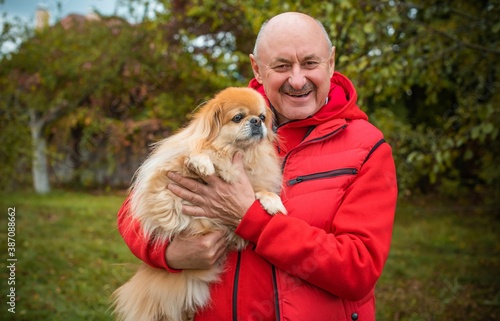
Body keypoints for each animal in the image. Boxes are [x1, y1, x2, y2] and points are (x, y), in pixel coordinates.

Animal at [112, 87, 288, 320]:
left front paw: (272, 202)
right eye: (238, 117)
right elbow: (190, 158)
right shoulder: (161, 187)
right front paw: (202, 162)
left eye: (262, 117)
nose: (256, 122)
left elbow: (260, 190)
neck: (236, 153)